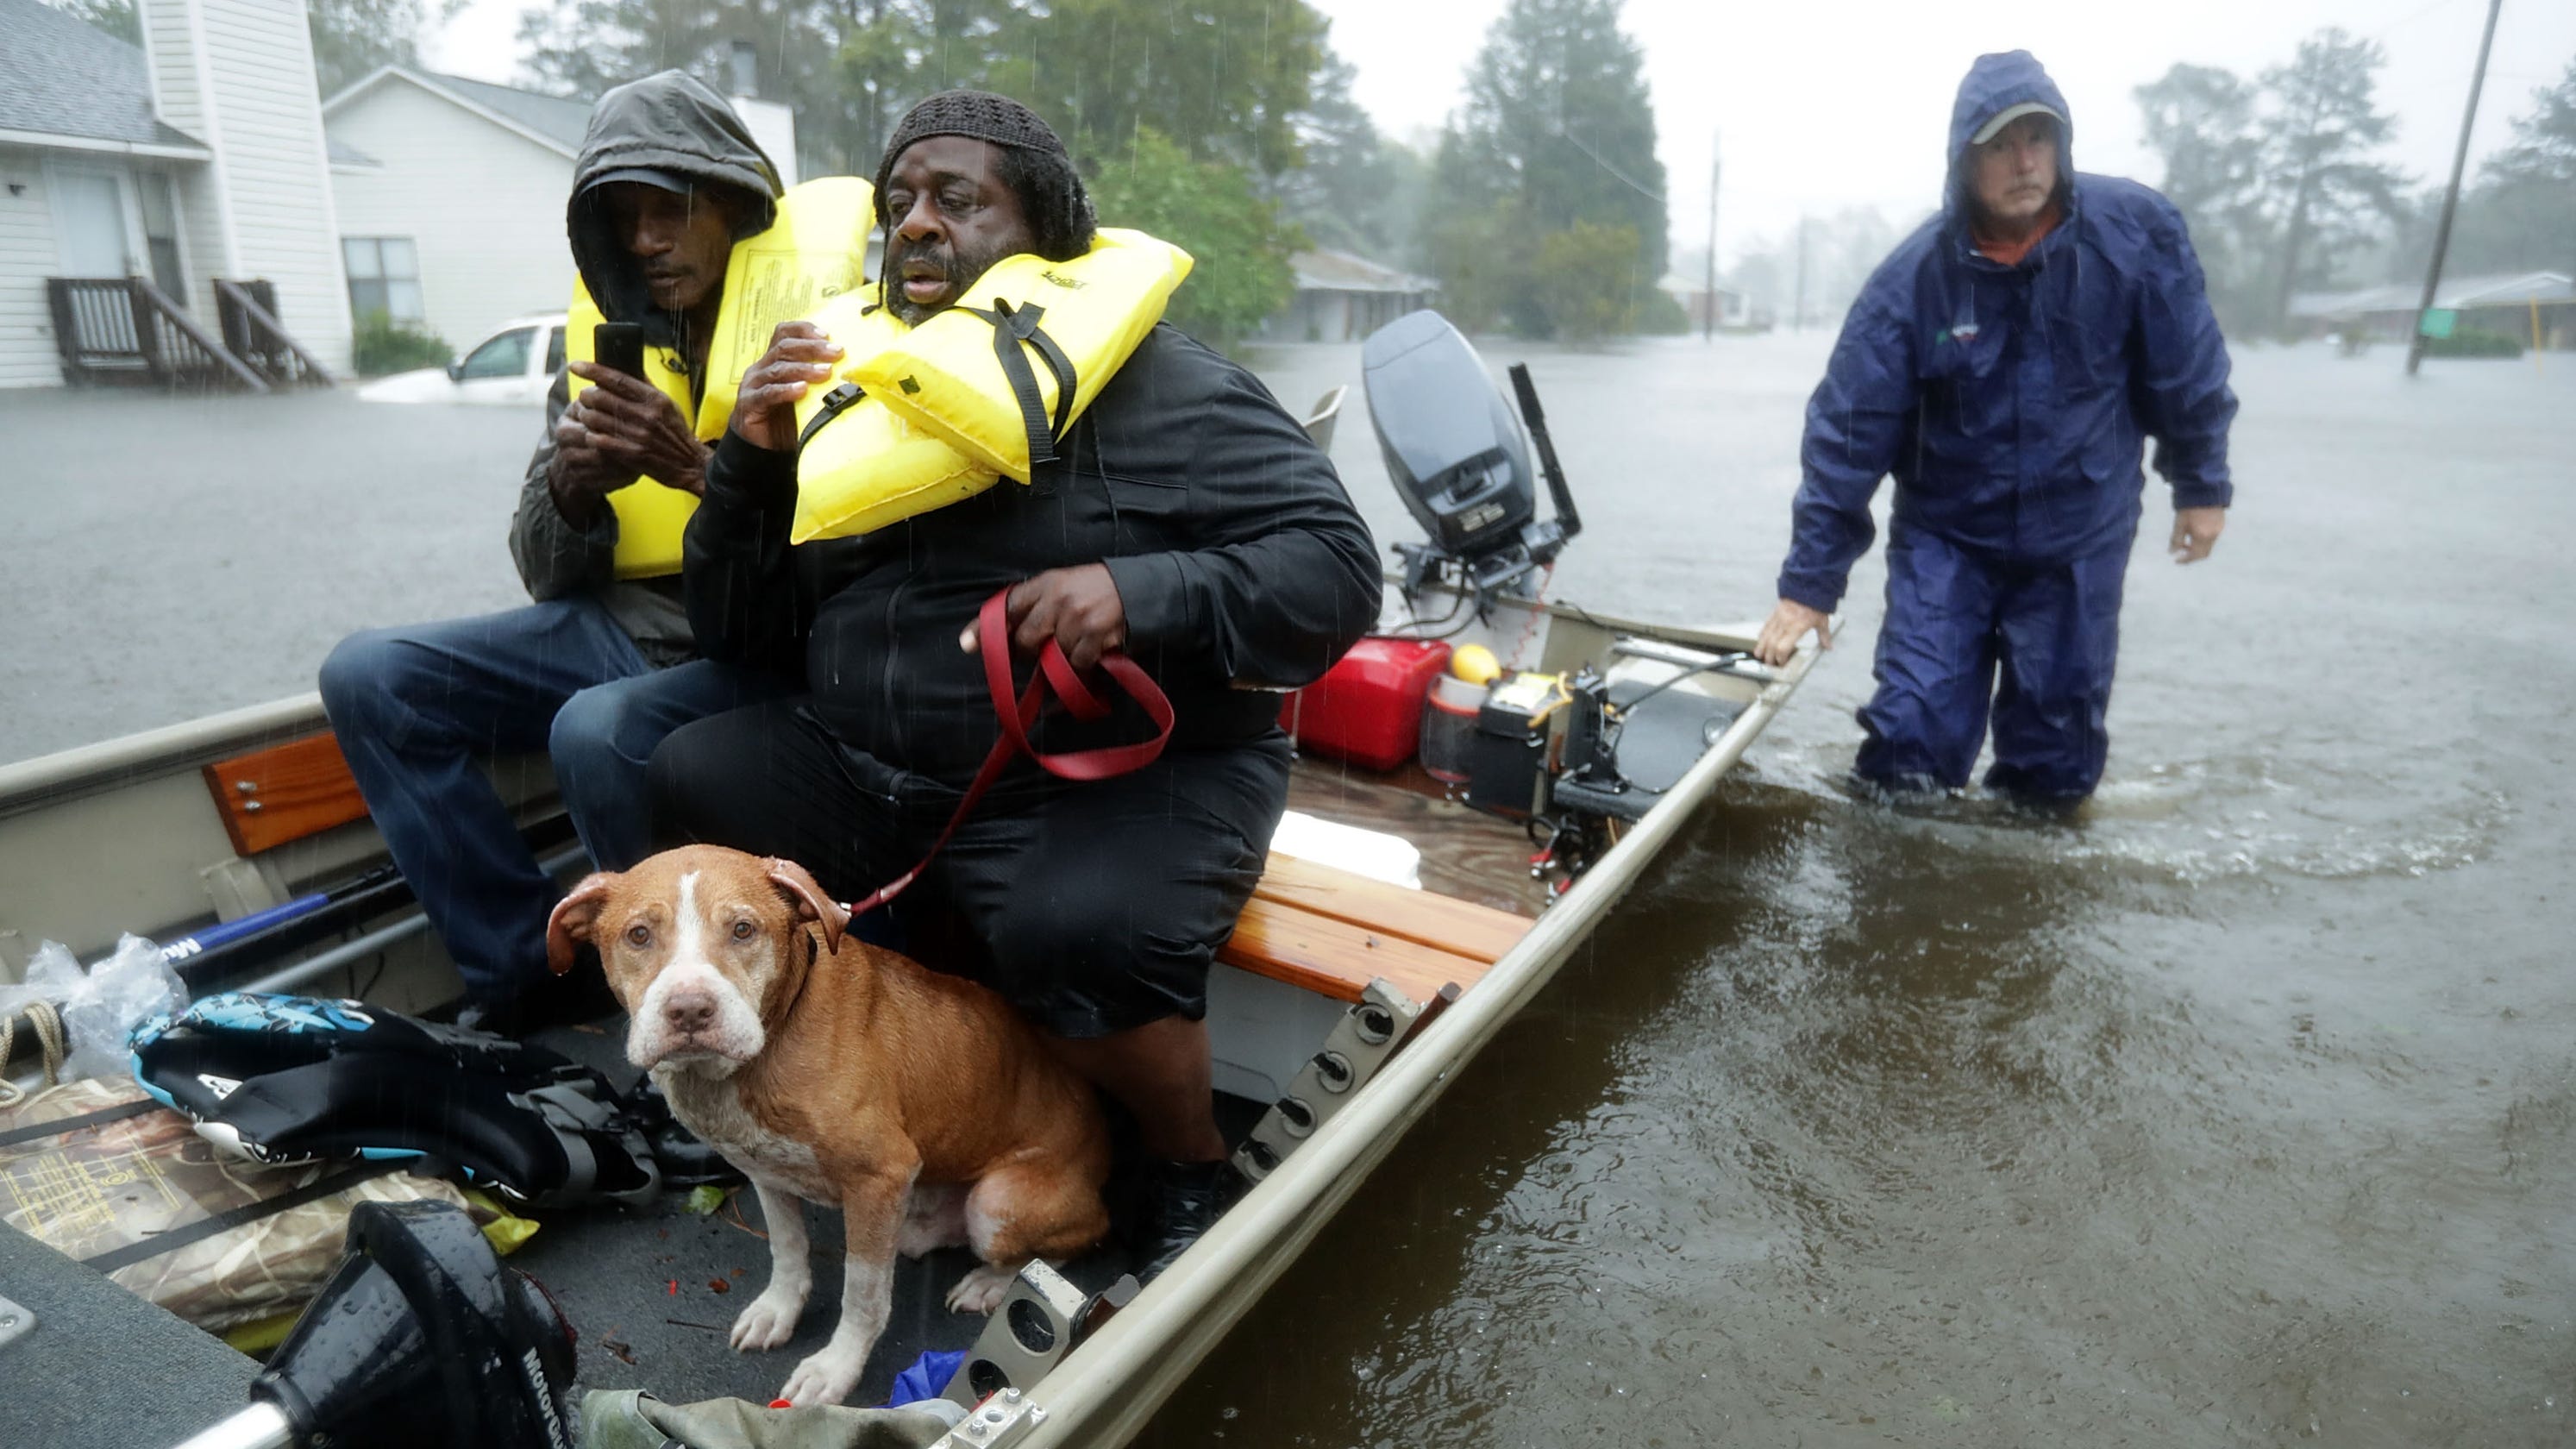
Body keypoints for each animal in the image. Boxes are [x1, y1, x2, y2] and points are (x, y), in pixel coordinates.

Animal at [543, 840, 1107, 1402]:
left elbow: (862, 1293)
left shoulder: (880, 1174)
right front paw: (778, 1311)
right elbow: (788, 1248)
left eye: (743, 929)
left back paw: (995, 1282)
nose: (689, 1011)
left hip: (996, 1202)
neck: (761, 1052)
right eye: (638, 935)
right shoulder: (765, 1170)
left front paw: (836, 1368)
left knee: (1070, 1245)